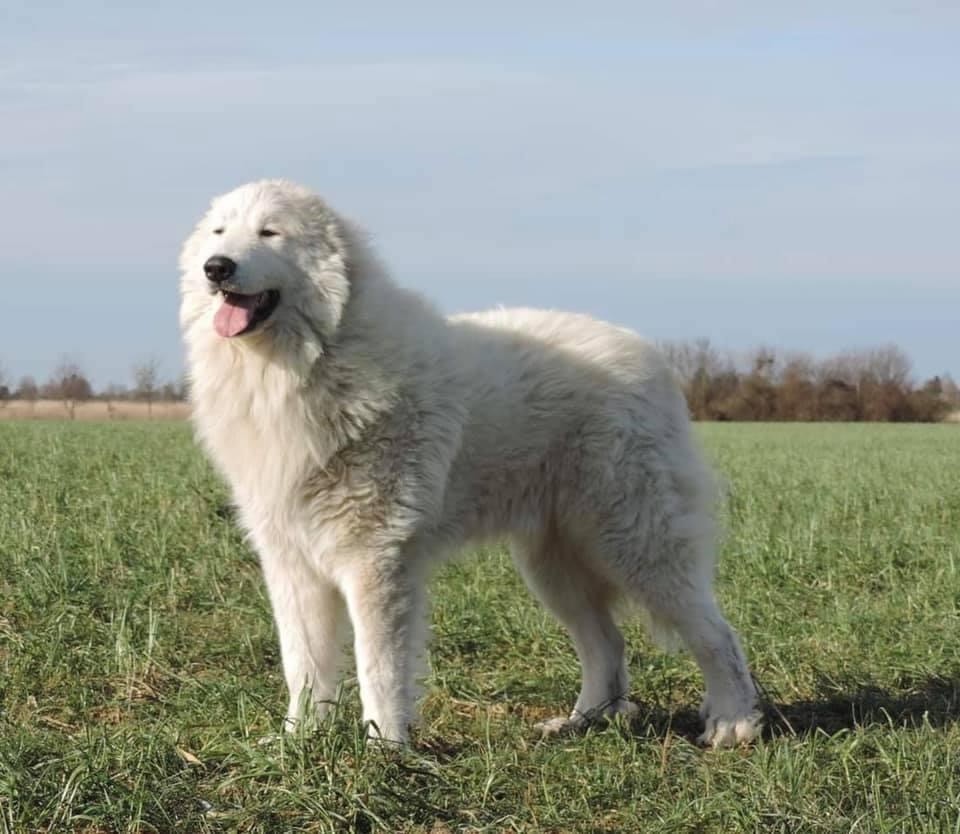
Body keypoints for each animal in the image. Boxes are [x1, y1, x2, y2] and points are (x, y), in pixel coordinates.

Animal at [180, 179, 760, 744]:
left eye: (270, 232)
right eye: (219, 232)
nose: (217, 267)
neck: (309, 359)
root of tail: (649, 356)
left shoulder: (376, 559)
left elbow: (378, 667)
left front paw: (385, 748)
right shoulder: (291, 562)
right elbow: (303, 664)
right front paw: (298, 742)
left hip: (637, 544)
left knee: (715, 633)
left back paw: (733, 722)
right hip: (555, 566)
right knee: (606, 645)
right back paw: (581, 722)